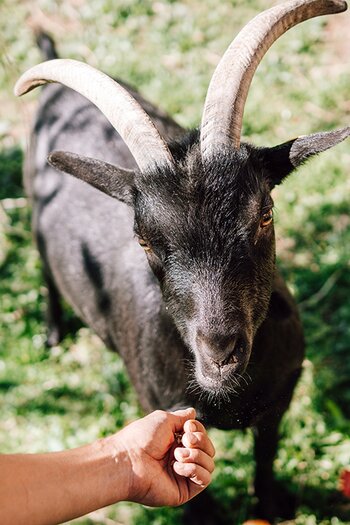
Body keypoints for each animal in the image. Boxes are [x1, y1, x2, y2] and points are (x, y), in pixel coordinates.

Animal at [15, 0, 348, 520]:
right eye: (144, 240)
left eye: (265, 213)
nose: (220, 352)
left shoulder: (281, 400)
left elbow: (266, 459)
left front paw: (271, 506)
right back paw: (51, 334)